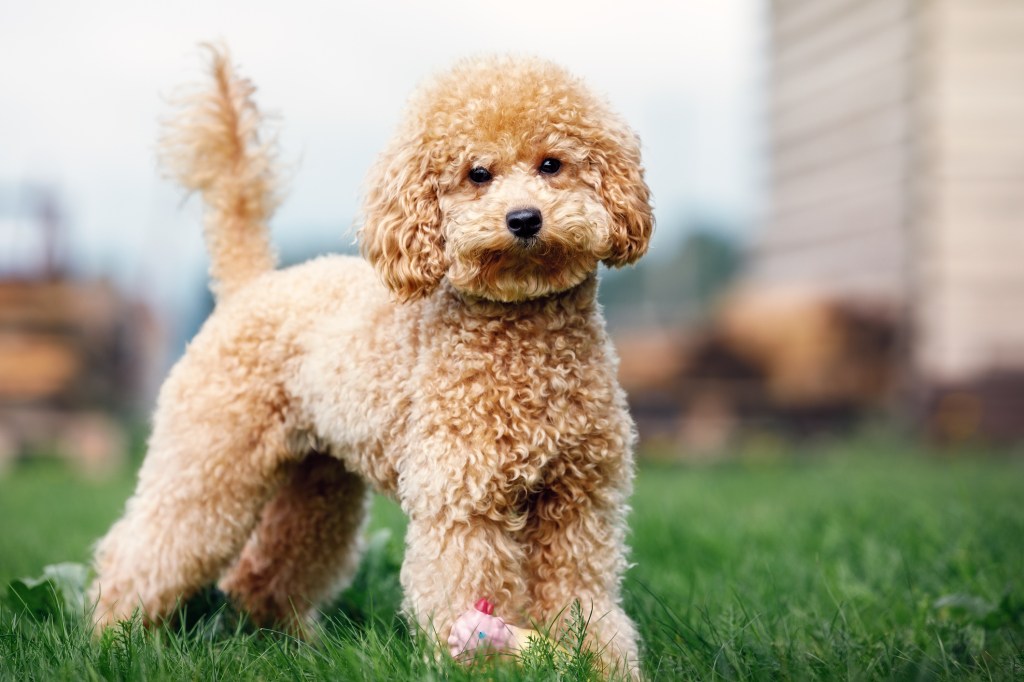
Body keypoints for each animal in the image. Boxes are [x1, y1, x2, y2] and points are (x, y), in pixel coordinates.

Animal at [92, 46, 651, 667]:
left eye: (552, 164)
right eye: (477, 174)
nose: (525, 219)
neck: (524, 341)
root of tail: (250, 284)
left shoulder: (580, 500)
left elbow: (582, 597)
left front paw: (601, 664)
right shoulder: (463, 496)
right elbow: (468, 586)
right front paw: (485, 664)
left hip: (317, 481)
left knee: (264, 571)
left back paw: (293, 644)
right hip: (209, 454)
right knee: (143, 552)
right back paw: (111, 636)